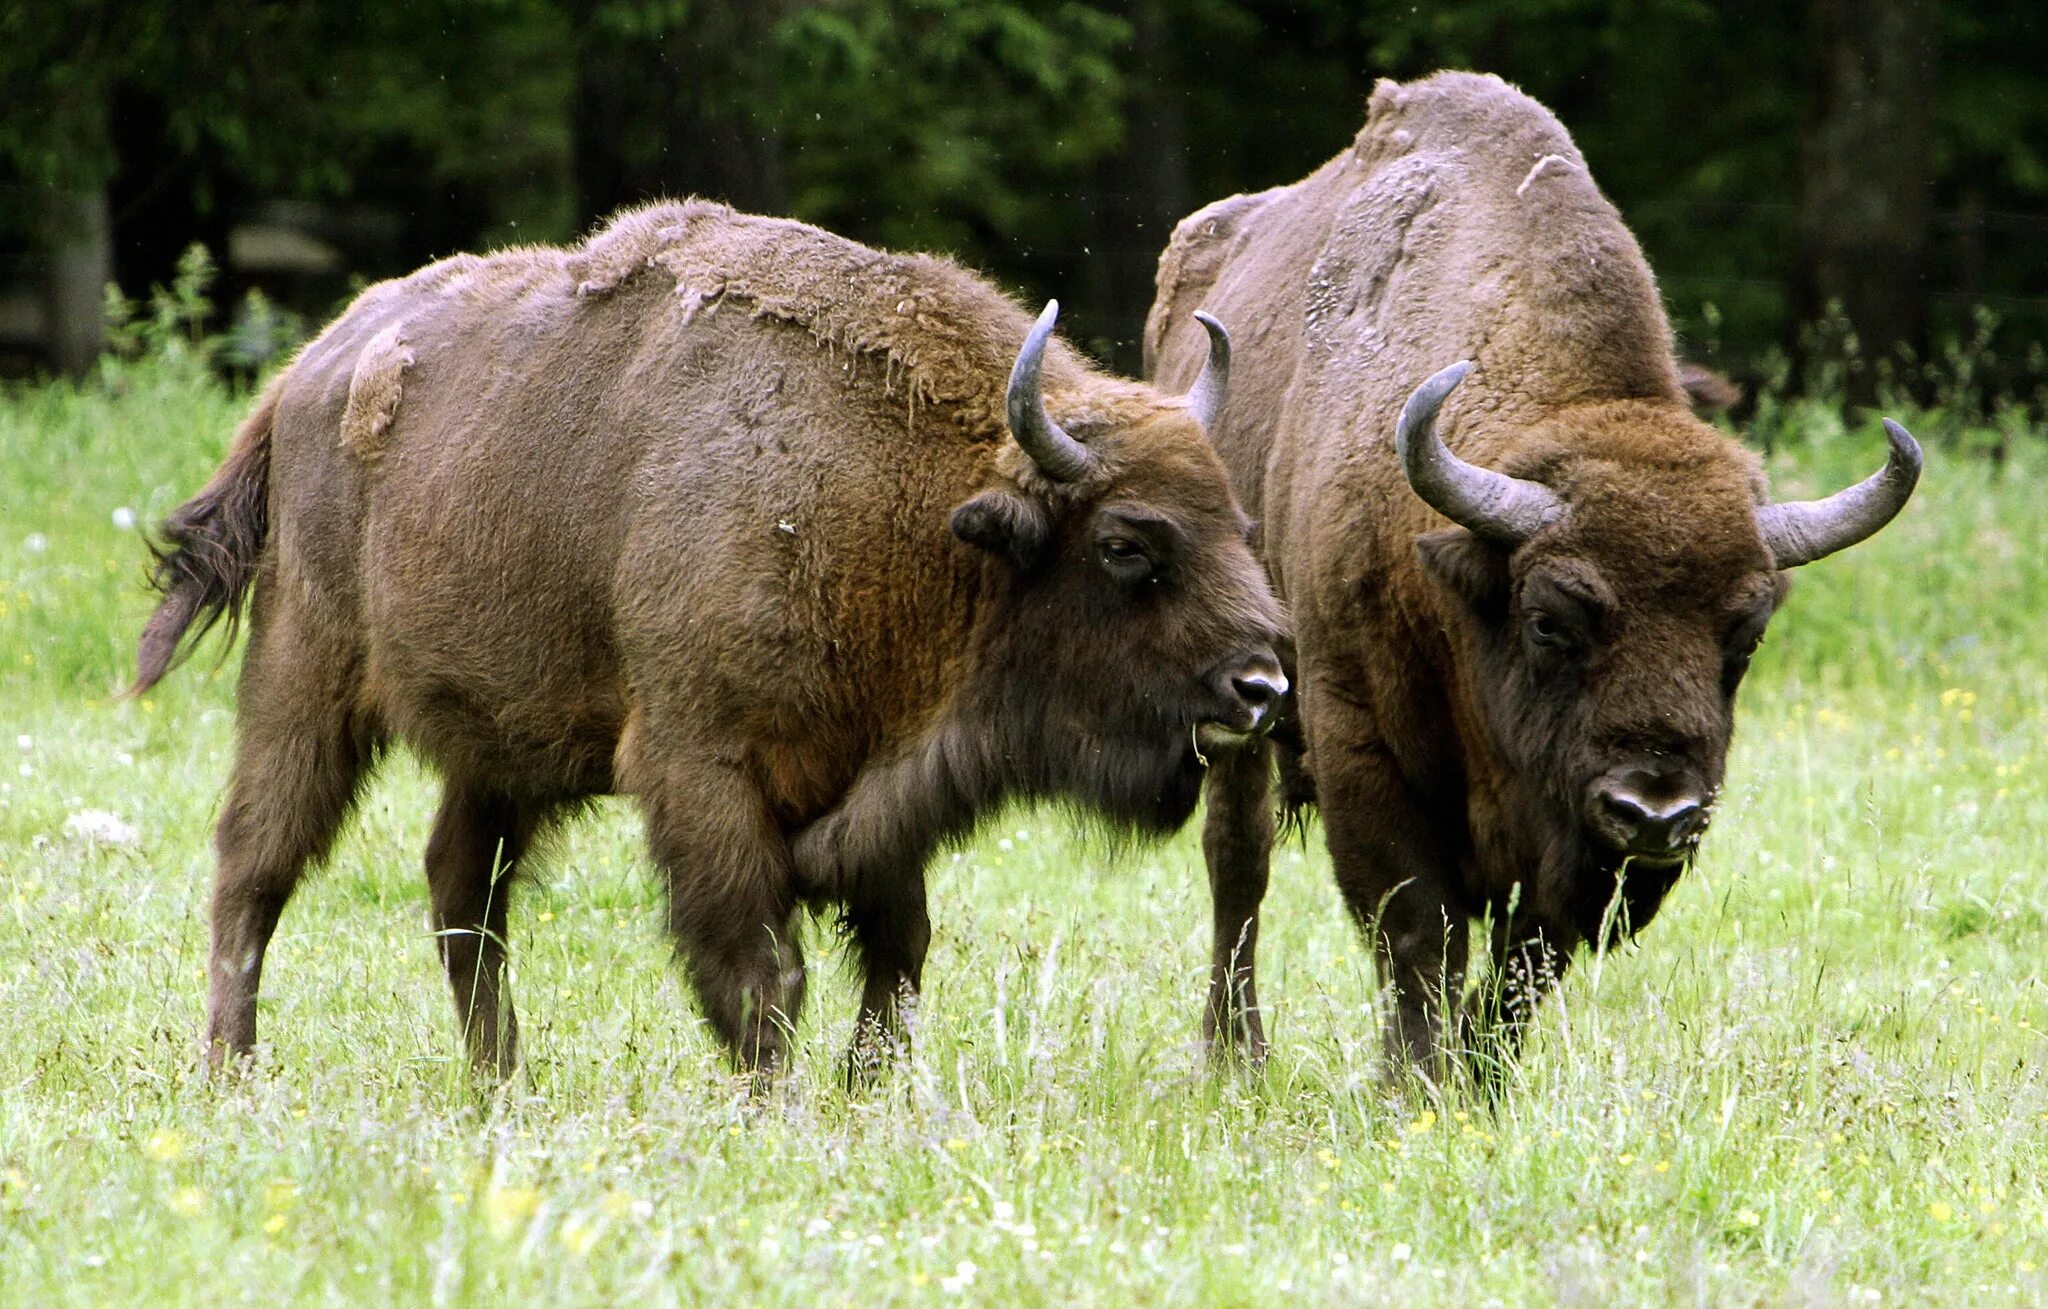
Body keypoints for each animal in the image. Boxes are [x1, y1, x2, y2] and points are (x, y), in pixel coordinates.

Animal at [144, 202, 1286, 1081]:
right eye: (1126, 544)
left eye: (1238, 522)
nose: (1261, 685)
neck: (910, 507)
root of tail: (302, 375)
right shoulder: (704, 771)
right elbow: (761, 973)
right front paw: (779, 1103)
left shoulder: (881, 796)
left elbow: (897, 954)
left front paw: (865, 1094)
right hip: (306, 679)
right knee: (255, 864)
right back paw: (231, 1071)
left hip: (498, 744)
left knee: (460, 887)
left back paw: (500, 1083)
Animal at [1155, 71, 1916, 1081]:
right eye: (1552, 618)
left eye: (1745, 634)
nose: (1655, 808)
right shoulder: (1360, 740)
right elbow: (1418, 934)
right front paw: (1415, 1082)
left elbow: (1526, 962)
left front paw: (1481, 1083)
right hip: (1239, 704)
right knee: (1237, 860)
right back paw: (1235, 1055)